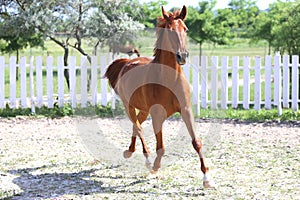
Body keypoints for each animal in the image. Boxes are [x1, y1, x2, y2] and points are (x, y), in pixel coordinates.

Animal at [104, 5, 214, 188]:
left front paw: (206, 178)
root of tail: (126, 63)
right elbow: (160, 147)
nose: (182, 56)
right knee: (138, 128)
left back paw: (129, 151)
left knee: (136, 126)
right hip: (129, 106)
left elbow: (196, 142)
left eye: (185, 29)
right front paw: (155, 166)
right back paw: (147, 161)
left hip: (143, 110)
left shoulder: (186, 110)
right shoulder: (157, 115)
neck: (169, 80)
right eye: (169, 30)